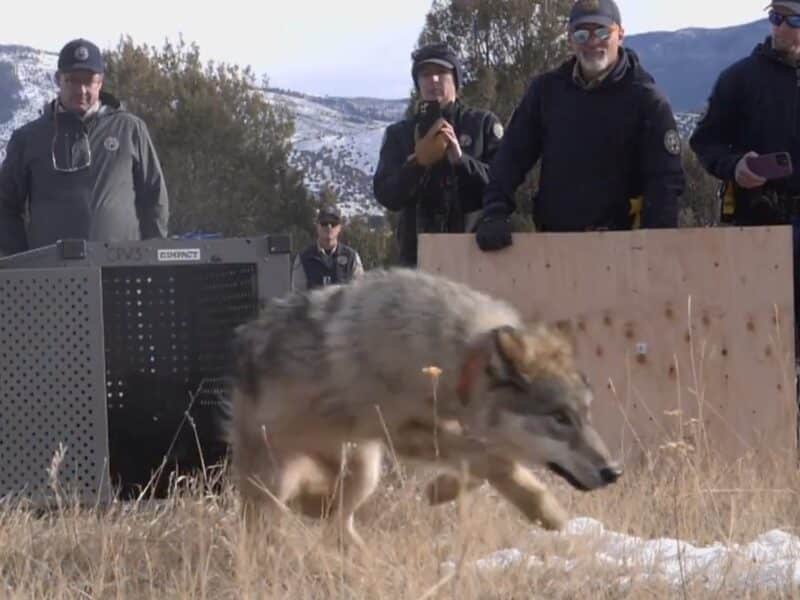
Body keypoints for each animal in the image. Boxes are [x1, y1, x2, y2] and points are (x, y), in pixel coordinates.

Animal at [229, 268, 621, 547]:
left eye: (586, 414)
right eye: (560, 418)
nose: (613, 472)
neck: (455, 358)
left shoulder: (440, 430)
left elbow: (487, 461)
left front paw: (441, 490)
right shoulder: (404, 434)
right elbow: (493, 459)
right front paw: (546, 512)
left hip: (364, 469)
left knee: (336, 522)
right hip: (277, 488)